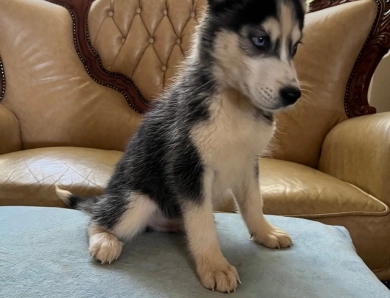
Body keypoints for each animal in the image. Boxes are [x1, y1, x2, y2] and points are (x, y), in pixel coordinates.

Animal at [56, 0, 306, 294]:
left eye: (295, 47)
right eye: (260, 40)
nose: (293, 95)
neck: (234, 105)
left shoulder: (246, 162)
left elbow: (253, 203)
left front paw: (265, 232)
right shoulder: (187, 165)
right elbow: (202, 223)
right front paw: (215, 266)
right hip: (135, 201)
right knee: (98, 220)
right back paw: (105, 239)